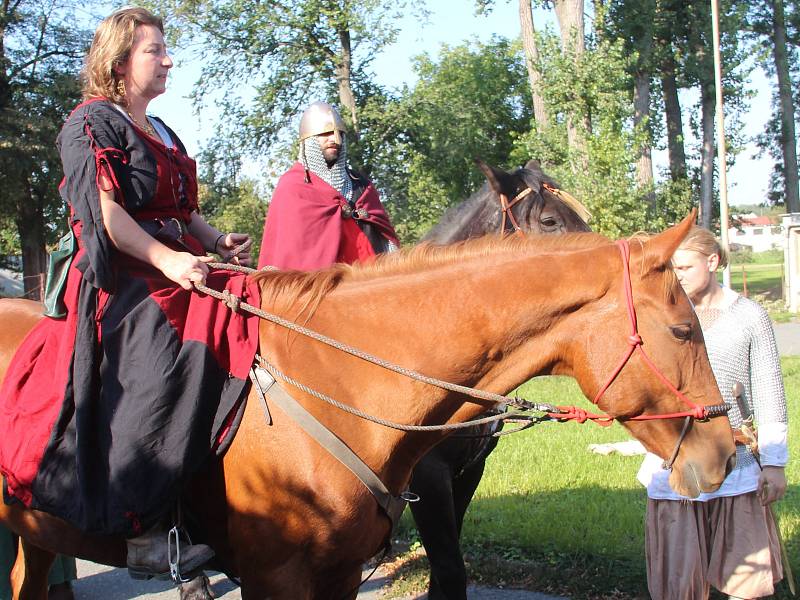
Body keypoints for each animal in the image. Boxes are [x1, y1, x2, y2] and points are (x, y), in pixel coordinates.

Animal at [1, 216, 736, 600]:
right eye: (683, 331)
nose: (726, 454)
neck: (342, 384)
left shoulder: (341, 572)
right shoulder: (274, 579)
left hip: (35, 531)